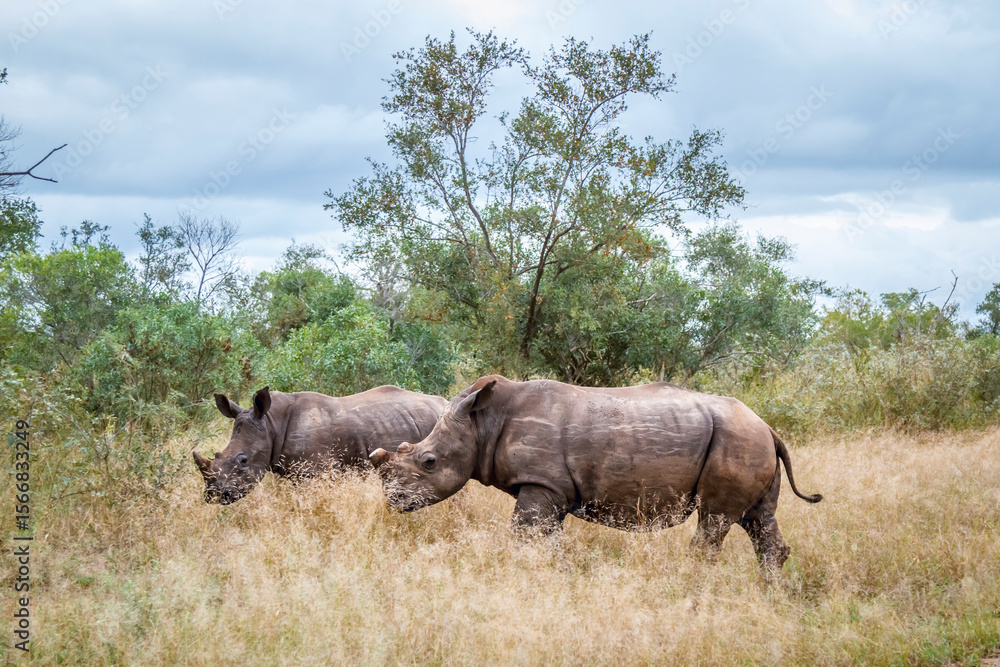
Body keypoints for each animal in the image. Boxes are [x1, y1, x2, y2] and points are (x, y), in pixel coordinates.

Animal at [370, 375, 822, 571]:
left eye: (429, 462)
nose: (392, 502)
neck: (482, 423)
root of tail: (769, 427)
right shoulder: (549, 490)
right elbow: (546, 539)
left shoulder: (541, 483)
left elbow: (524, 535)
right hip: (749, 440)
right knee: (758, 519)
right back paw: (770, 594)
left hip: (739, 439)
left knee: (715, 520)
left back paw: (691, 582)